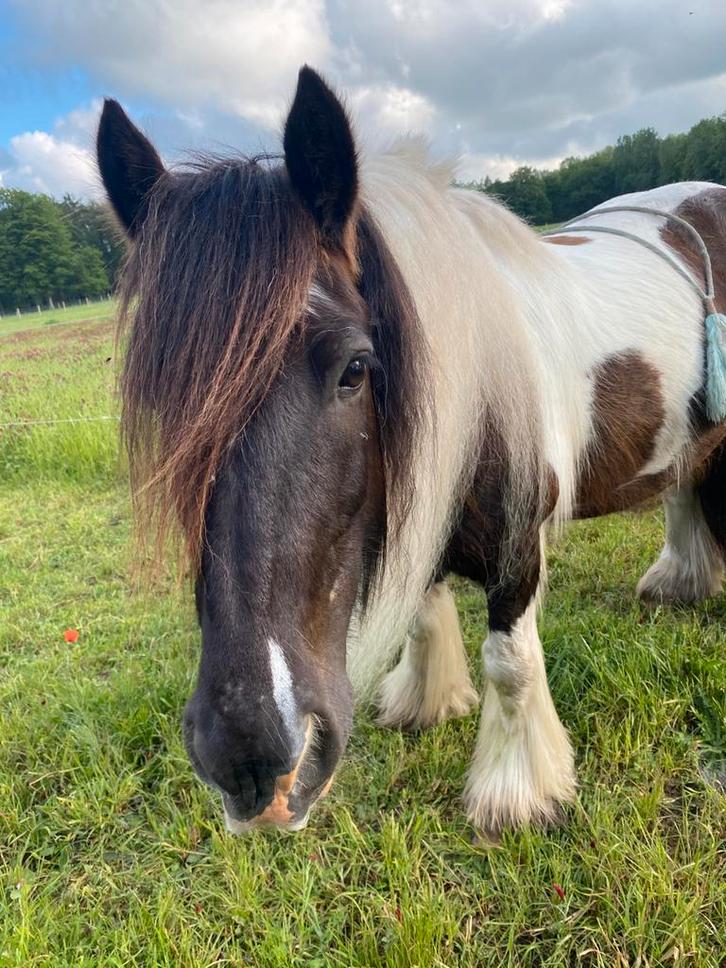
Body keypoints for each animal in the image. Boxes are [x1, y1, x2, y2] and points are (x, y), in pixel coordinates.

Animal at [96, 66, 726, 839]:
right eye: (165, 403)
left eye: (354, 368)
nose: (249, 760)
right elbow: (426, 616)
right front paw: (427, 702)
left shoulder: (519, 547)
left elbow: (510, 661)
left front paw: (516, 795)